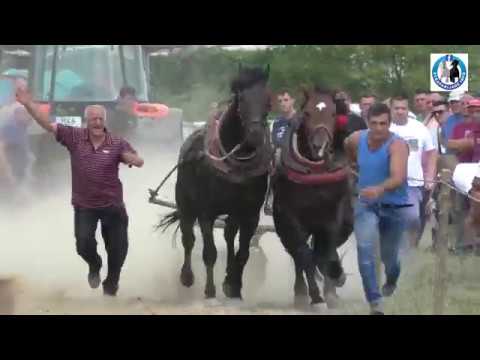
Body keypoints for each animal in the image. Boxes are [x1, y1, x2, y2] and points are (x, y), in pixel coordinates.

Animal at [158, 65, 270, 300]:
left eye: (268, 98)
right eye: (240, 98)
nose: (255, 135)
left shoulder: (250, 214)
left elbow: (243, 252)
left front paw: (234, 286)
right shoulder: (206, 212)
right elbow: (209, 252)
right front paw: (210, 290)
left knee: (229, 235)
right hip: (185, 203)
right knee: (188, 238)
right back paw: (187, 276)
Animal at [272, 86, 354, 308]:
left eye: (334, 113)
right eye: (307, 113)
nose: (320, 146)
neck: (316, 173)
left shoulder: (332, 216)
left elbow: (326, 252)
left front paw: (331, 290)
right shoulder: (290, 217)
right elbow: (304, 254)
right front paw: (314, 296)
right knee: (298, 254)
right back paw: (302, 292)